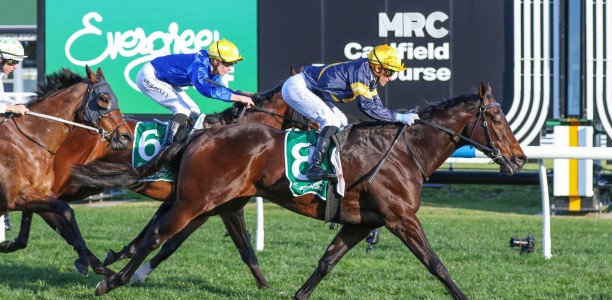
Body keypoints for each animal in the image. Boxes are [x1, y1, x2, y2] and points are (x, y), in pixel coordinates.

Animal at [0, 65, 133, 276]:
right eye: (103, 99)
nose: (126, 136)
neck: (28, 142)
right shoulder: (16, 198)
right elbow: (67, 210)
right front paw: (83, 261)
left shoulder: (39, 196)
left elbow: (57, 224)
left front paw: (109, 273)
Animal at [21, 83, 310, 284]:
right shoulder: (215, 204)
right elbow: (239, 247)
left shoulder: (197, 204)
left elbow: (162, 238)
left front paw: (125, 259)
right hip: (72, 182)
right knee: (47, 207)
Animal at [74, 81, 528, 298]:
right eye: (498, 119)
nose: (520, 159)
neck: (404, 152)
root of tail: (201, 134)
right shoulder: (401, 218)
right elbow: (436, 264)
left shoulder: (362, 223)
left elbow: (326, 261)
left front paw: (295, 293)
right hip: (195, 200)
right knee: (156, 236)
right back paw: (110, 280)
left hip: (206, 201)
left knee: (158, 236)